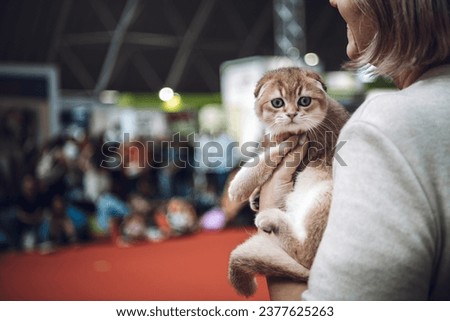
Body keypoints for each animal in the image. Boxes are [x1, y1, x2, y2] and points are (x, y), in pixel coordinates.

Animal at [227, 66, 350, 296]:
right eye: (277, 102)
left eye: (304, 101)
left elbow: (266, 156)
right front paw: (254, 196)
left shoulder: (304, 147)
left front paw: (239, 186)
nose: (292, 114)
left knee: (306, 254)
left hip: (325, 191)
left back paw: (272, 220)